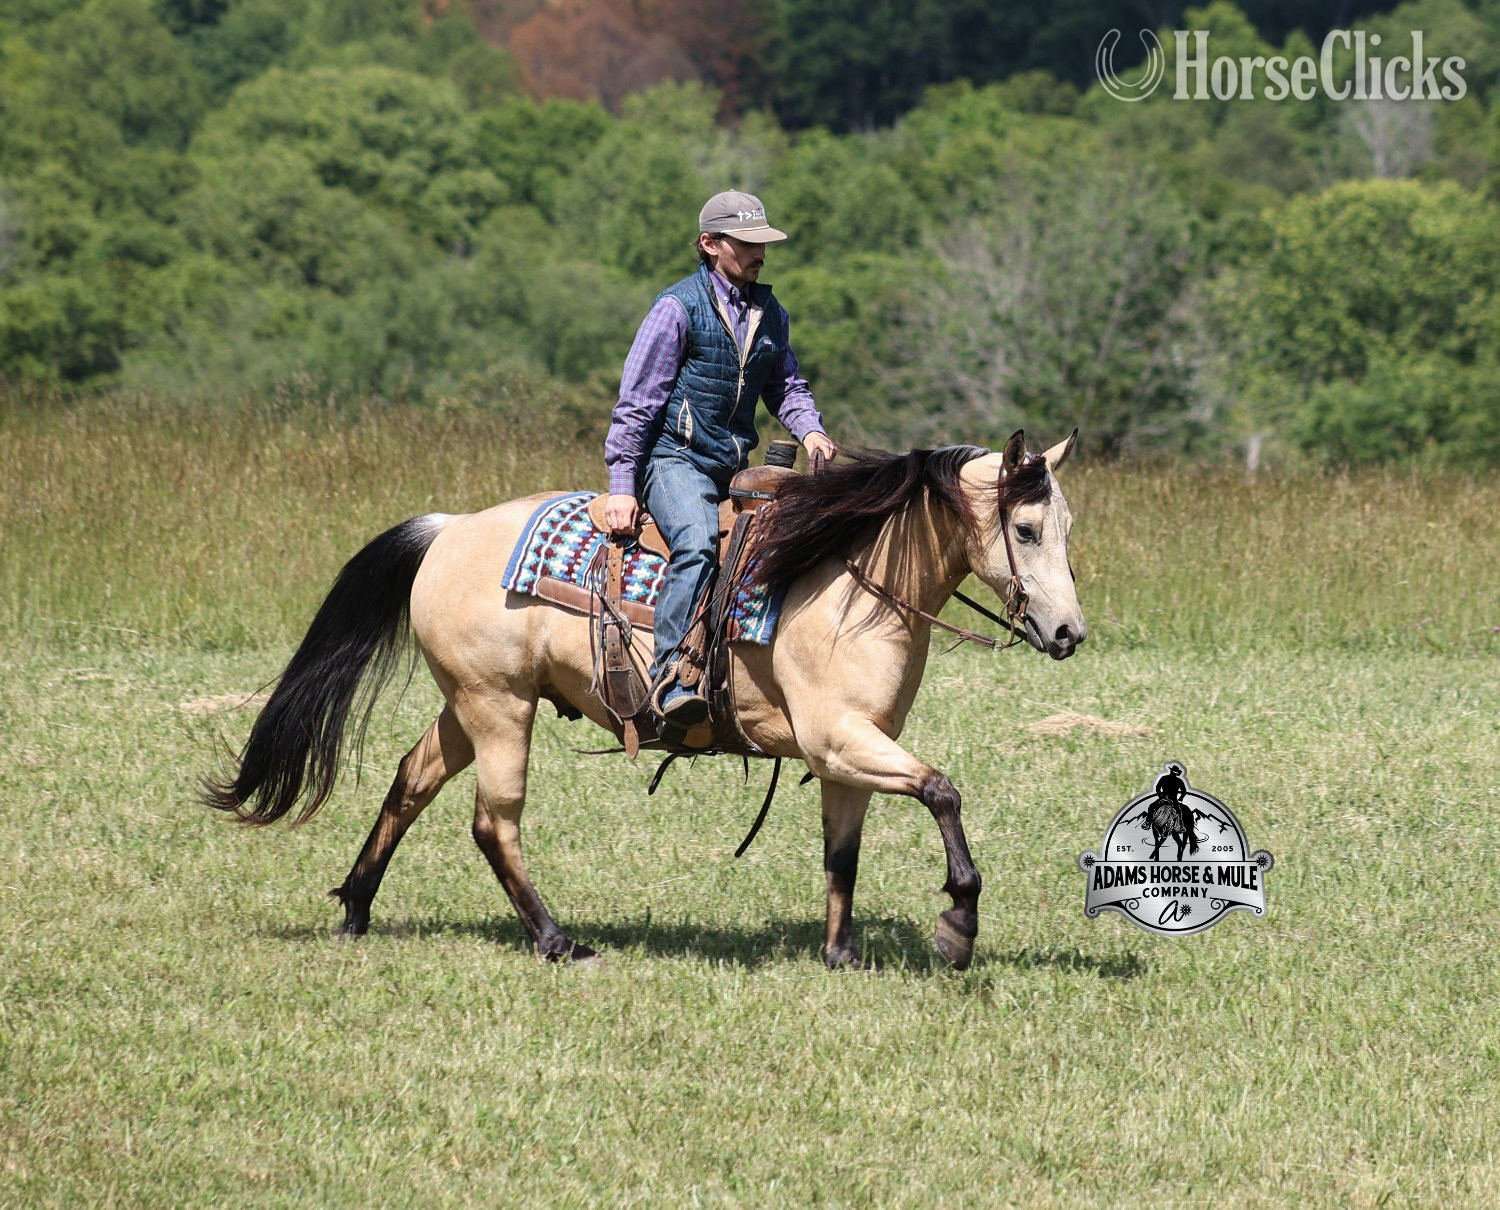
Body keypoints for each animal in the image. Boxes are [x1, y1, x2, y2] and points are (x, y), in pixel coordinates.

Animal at [203, 429, 1087, 970]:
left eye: (1068, 528)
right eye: (1027, 529)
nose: (1069, 632)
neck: (847, 579)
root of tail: (447, 529)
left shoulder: (849, 750)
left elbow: (843, 852)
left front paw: (841, 954)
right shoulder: (838, 736)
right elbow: (942, 790)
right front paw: (958, 926)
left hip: (470, 704)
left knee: (411, 780)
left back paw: (356, 907)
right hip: (498, 708)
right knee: (493, 822)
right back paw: (557, 940)